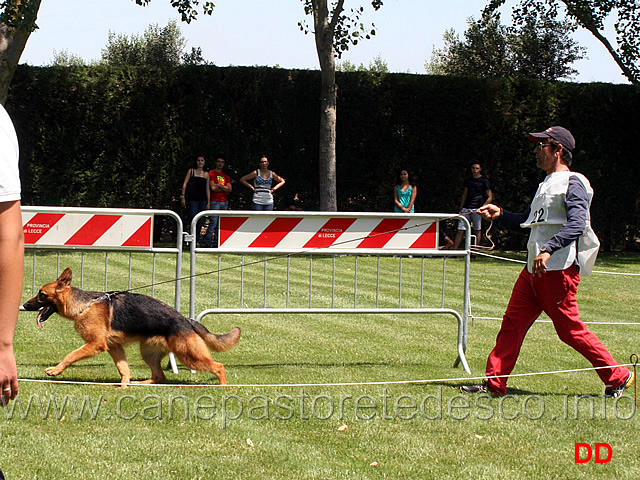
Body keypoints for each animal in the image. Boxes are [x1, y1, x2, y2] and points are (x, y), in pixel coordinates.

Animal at [23, 270, 240, 386]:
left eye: (41, 294)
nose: (24, 305)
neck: (85, 305)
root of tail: (186, 319)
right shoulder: (114, 347)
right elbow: (123, 368)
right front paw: (124, 384)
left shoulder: (95, 344)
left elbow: (71, 355)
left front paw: (56, 370)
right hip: (149, 353)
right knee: (159, 376)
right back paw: (140, 384)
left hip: (189, 355)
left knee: (218, 367)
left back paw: (222, 387)